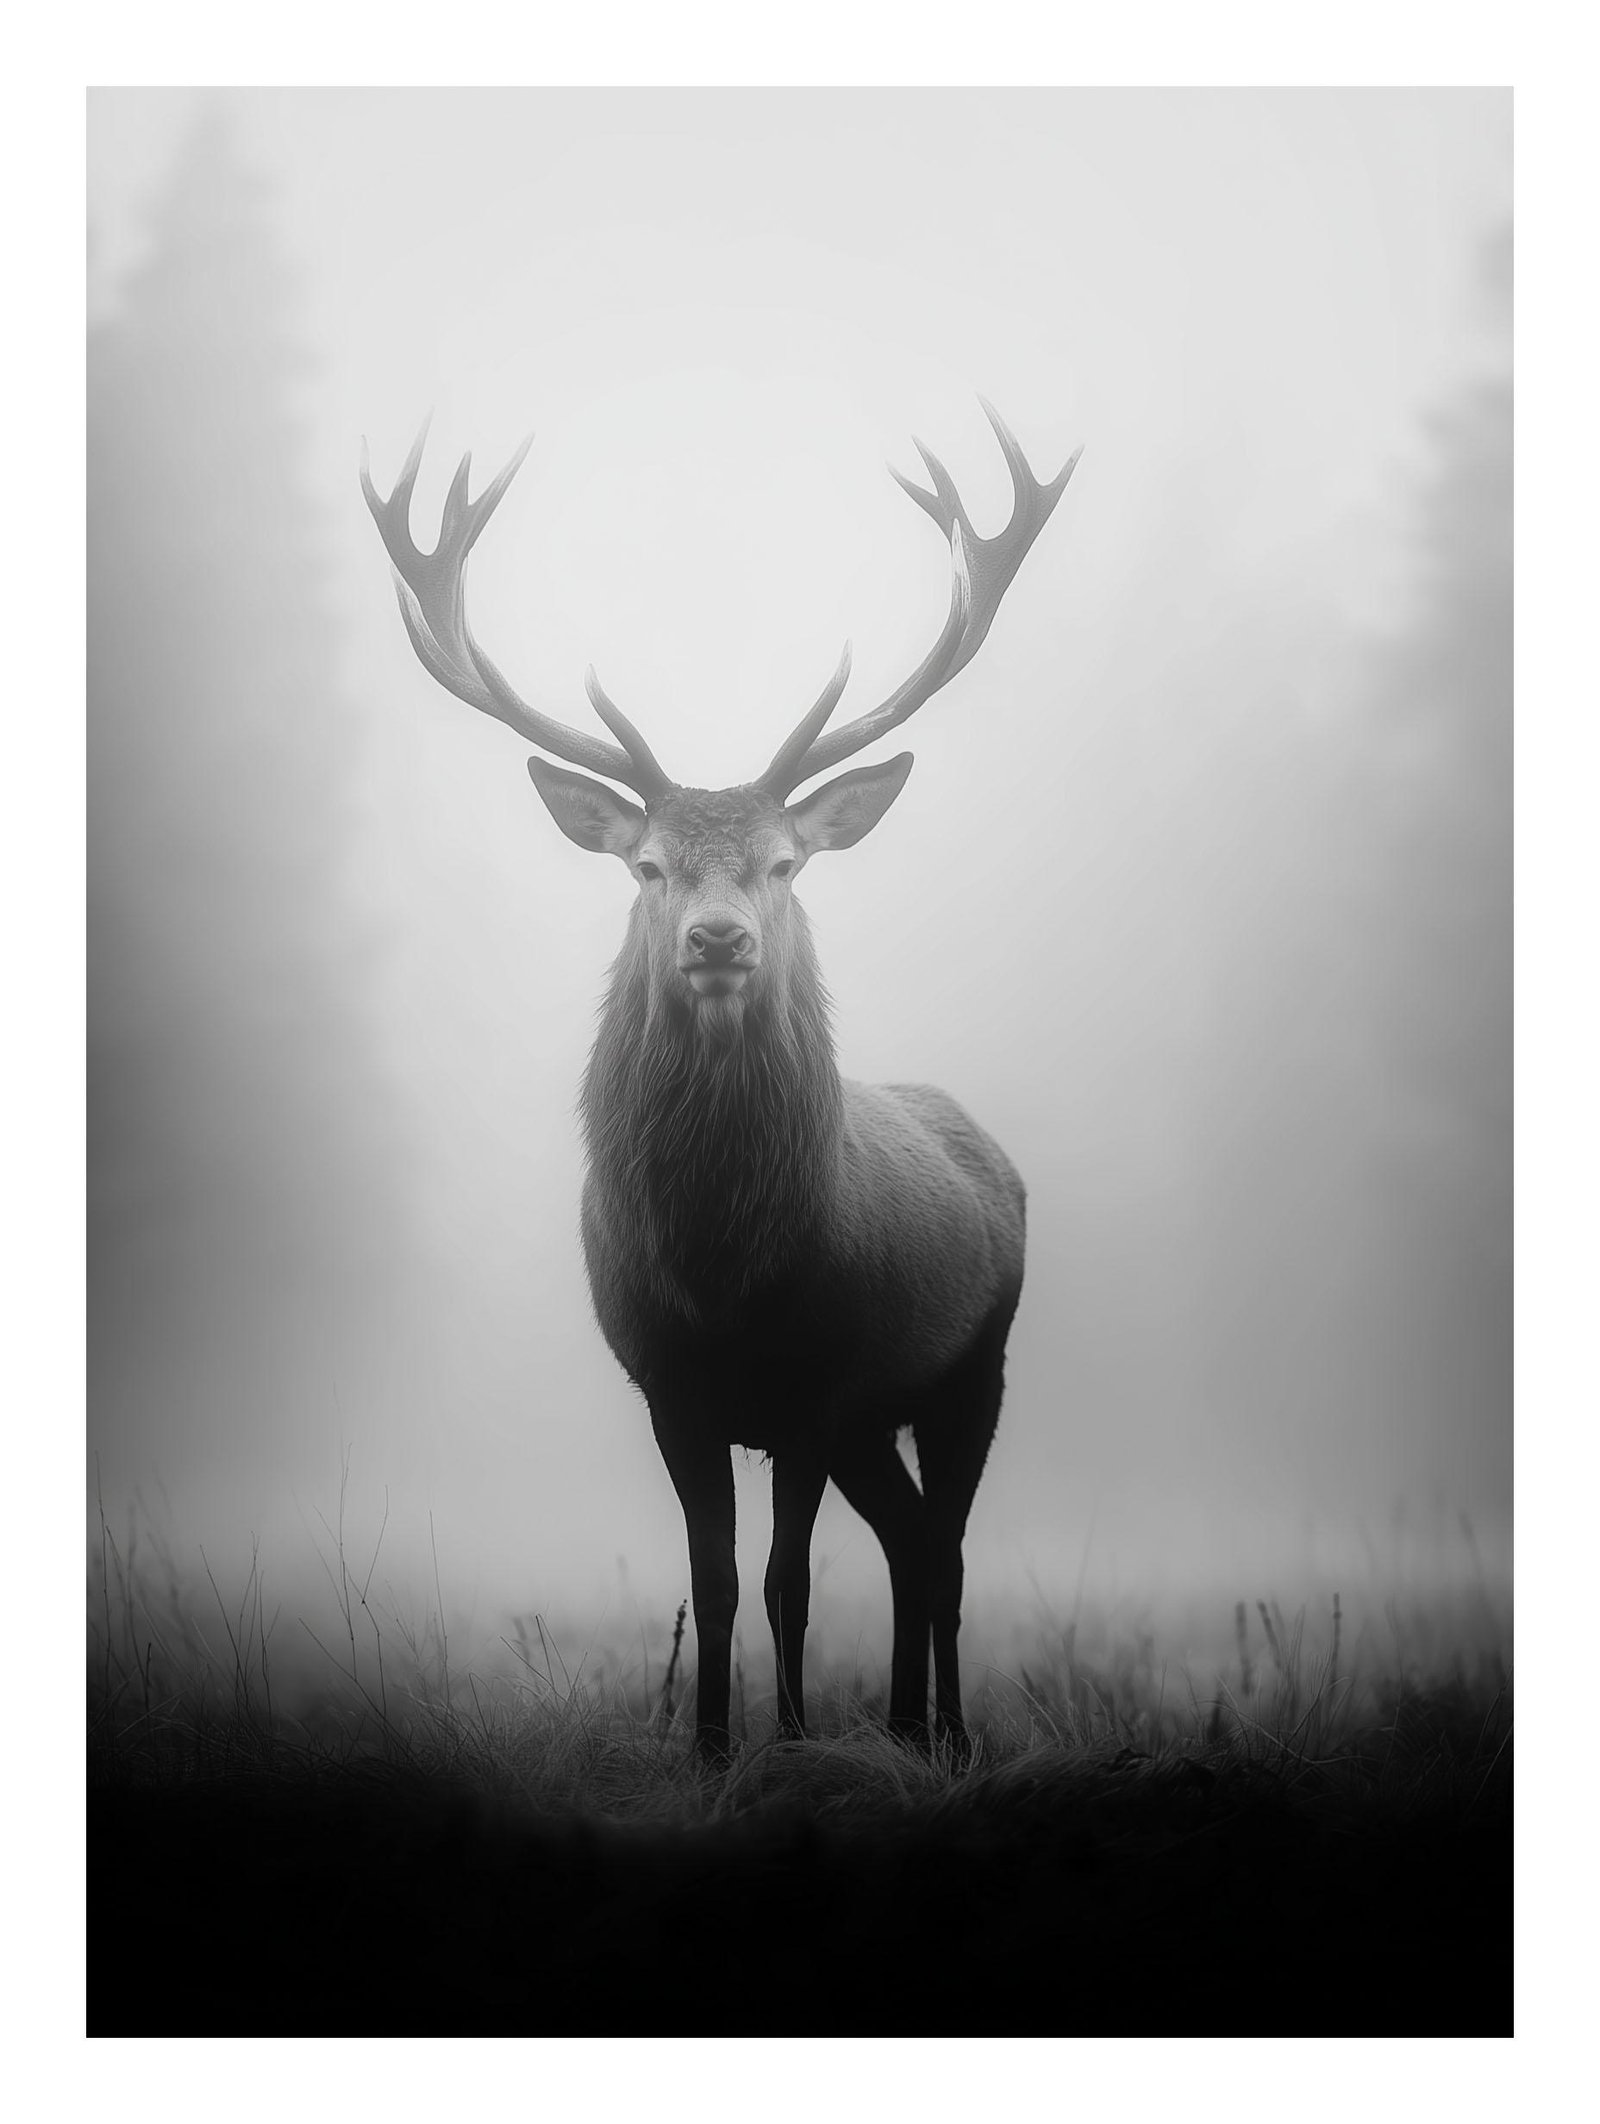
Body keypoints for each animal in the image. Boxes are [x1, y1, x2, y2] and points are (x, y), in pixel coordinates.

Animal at [361, 401, 1078, 1756]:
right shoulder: (671, 1385)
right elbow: (714, 1578)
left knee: (945, 1551)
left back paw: (950, 1737)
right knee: (908, 1540)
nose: (717, 939)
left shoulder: (819, 1381)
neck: (726, 1267)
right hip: (877, 1418)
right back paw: (902, 1728)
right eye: (646, 867)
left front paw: (788, 1745)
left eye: (786, 863)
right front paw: (708, 1748)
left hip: (975, 1362)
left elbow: (788, 1581)